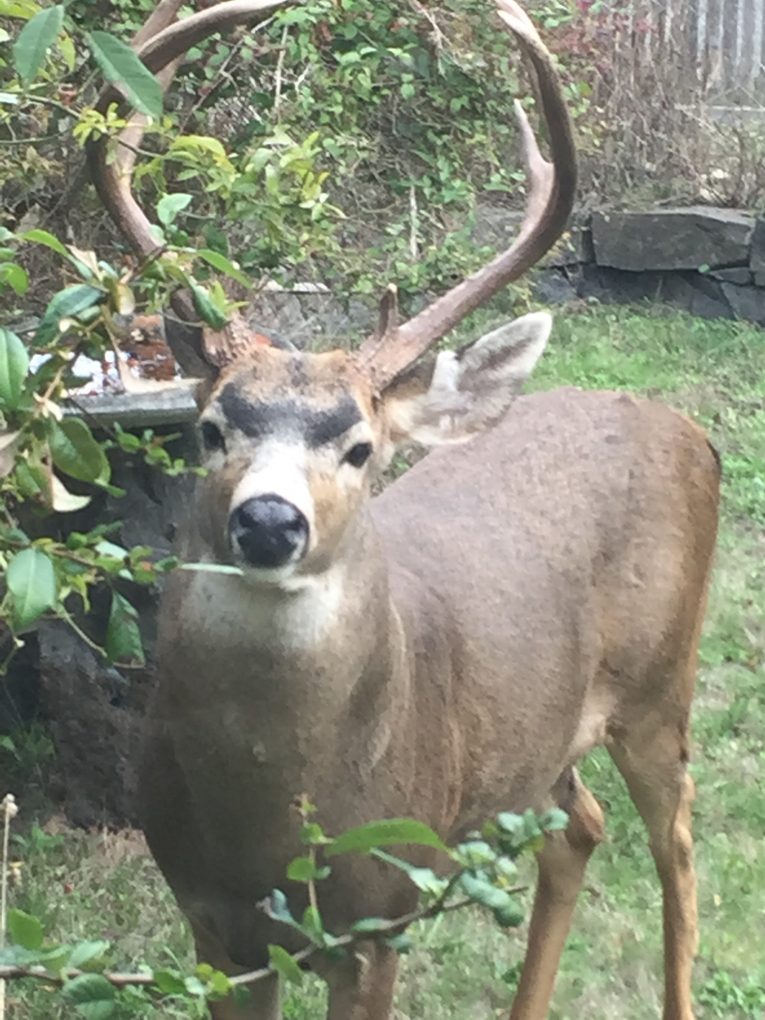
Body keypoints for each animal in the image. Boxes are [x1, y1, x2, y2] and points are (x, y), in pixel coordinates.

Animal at [86, 1, 720, 1018]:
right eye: (210, 428)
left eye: (360, 448)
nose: (269, 522)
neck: (272, 834)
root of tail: (690, 433)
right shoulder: (210, 923)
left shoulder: (378, 914)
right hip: (538, 740)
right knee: (578, 827)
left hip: (664, 682)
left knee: (677, 845)